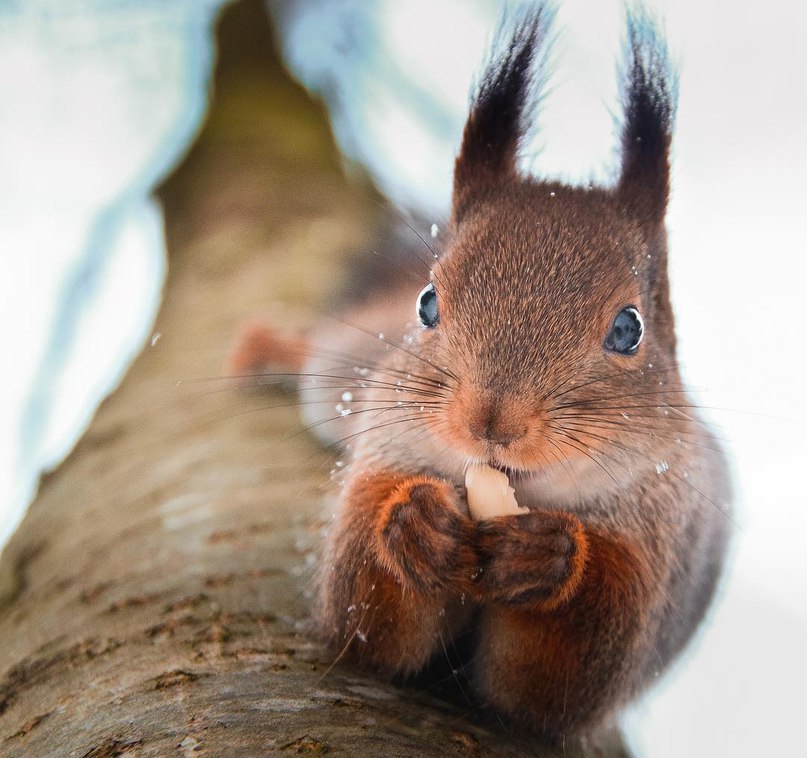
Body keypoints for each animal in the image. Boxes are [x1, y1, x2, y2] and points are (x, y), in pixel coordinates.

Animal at [226, 2, 732, 744]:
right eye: (428, 303)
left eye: (628, 329)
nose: (491, 420)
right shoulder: (383, 454)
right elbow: (363, 620)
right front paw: (412, 523)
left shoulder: (653, 551)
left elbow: (555, 681)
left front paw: (550, 555)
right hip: (347, 373)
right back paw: (269, 347)